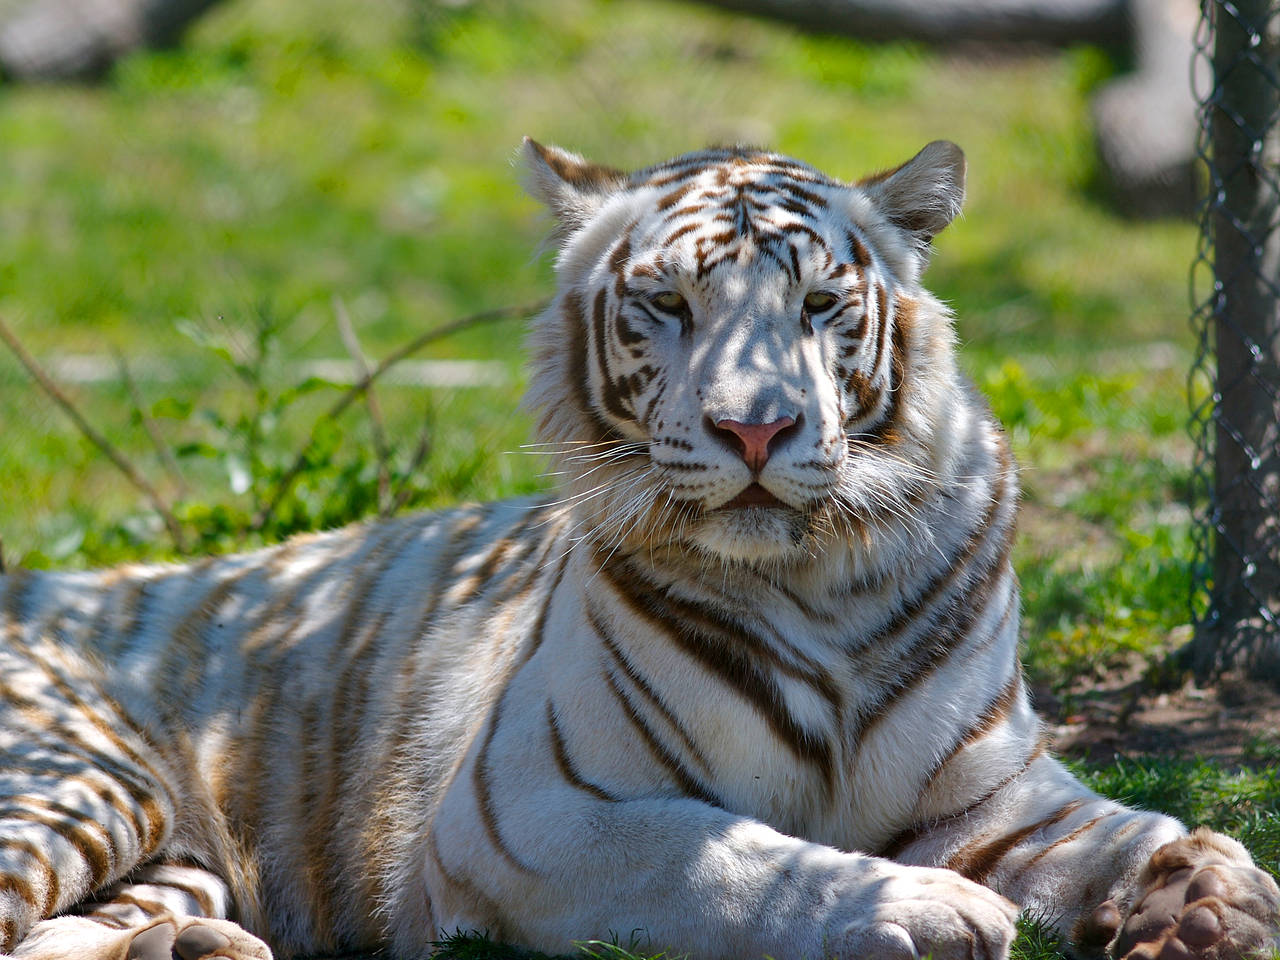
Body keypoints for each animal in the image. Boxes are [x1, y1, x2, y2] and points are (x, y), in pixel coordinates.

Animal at [2, 136, 1280, 960]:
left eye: (819, 306)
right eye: (667, 305)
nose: (755, 428)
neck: (820, 578)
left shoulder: (999, 794)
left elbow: (1140, 825)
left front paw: (1208, 901)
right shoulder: (530, 810)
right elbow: (729, 856)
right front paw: (926, 912)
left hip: (171, 851)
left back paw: (193, 948)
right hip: (82, 780)